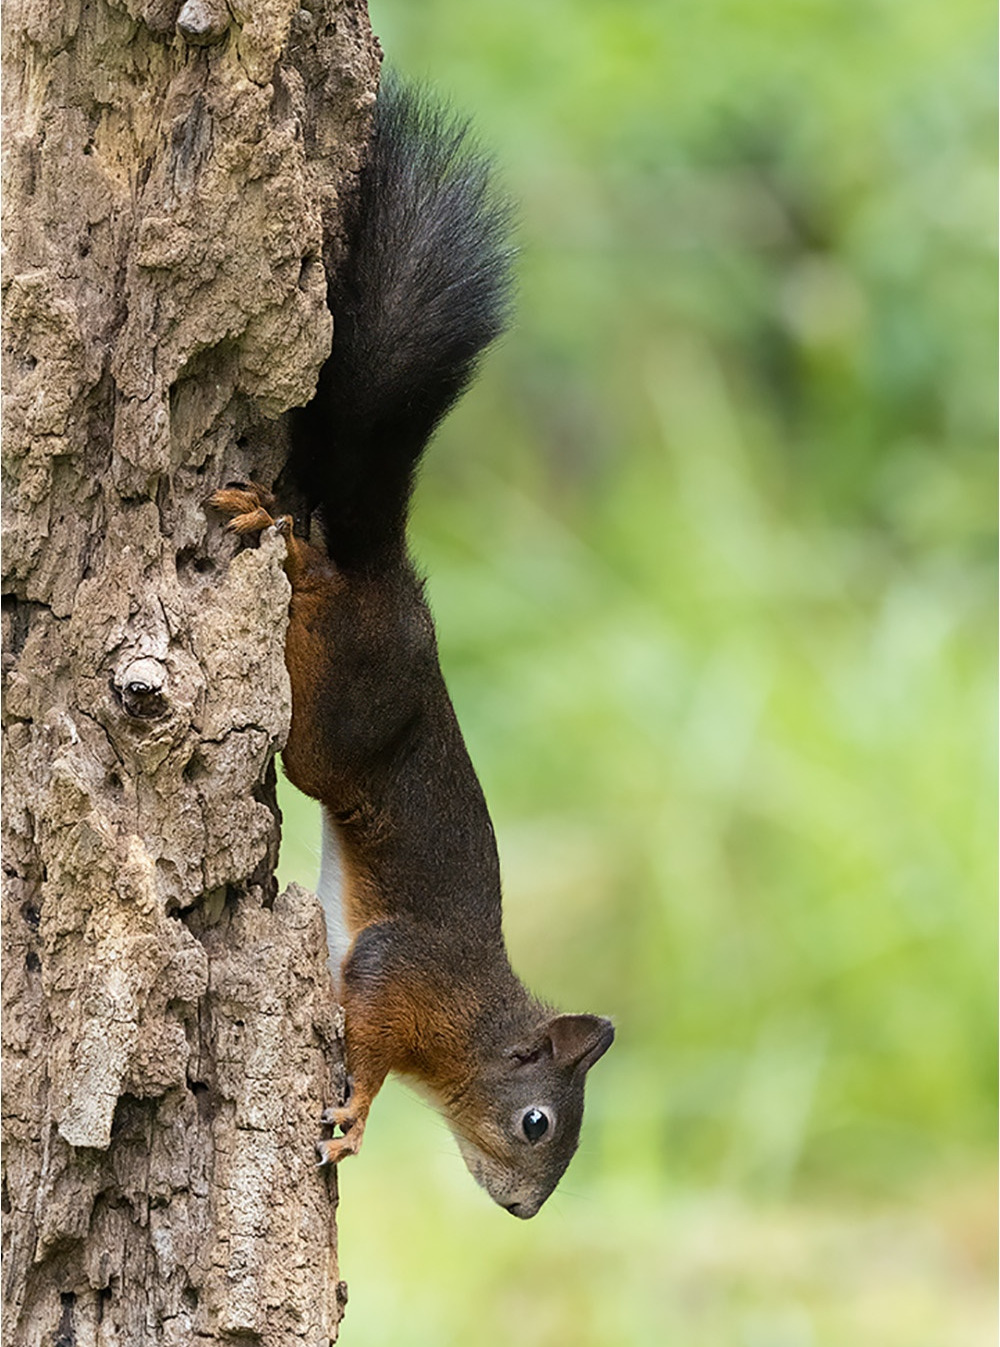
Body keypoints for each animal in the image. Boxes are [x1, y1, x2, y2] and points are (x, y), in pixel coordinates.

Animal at [210, 79, 613, 1219]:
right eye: (537, 1123)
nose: (524, 1210)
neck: (477, 1012)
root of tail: (397, 588)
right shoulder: (404, 981)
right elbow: (373, 1052)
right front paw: (353, 1120)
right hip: (337, 719)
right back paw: (291, 552)